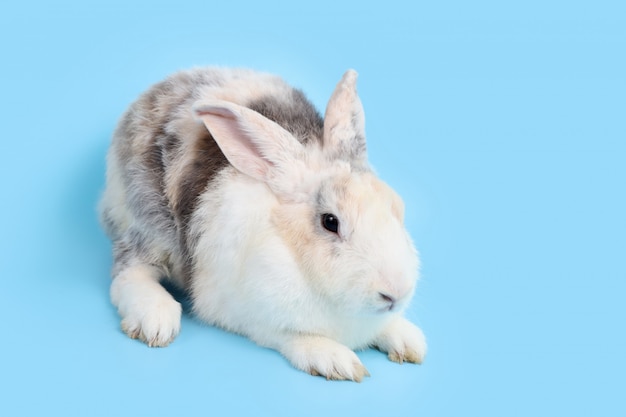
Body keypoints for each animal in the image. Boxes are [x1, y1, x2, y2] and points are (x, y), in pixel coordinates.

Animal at [100, 66, 426, 380]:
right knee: (127, 272)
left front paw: (410, 340)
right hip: (147, 224)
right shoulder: (249, 316)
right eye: (330, 222)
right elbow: (294, 337)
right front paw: (336, 361)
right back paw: (156, 321)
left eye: (396, 206)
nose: (395, 294)